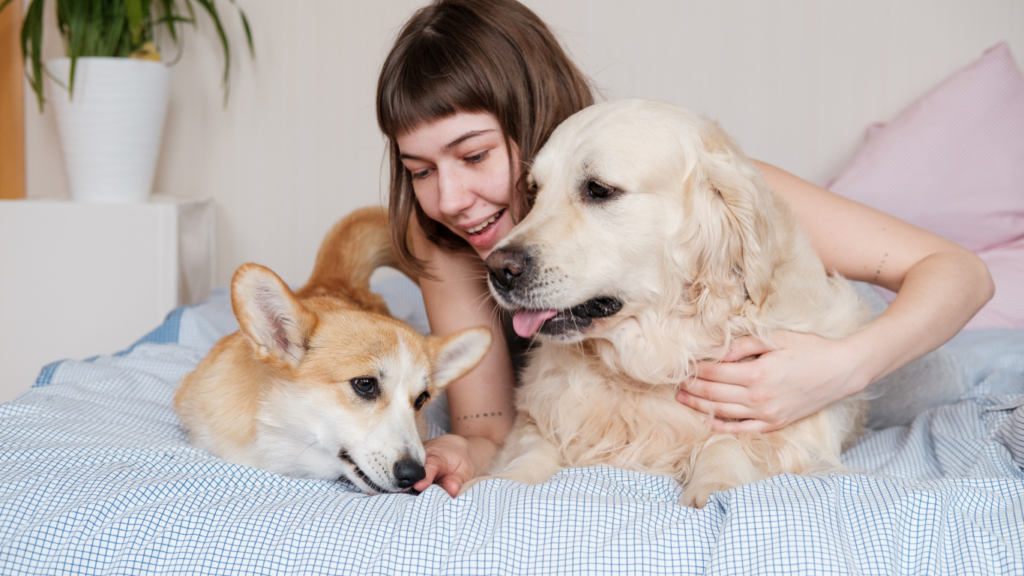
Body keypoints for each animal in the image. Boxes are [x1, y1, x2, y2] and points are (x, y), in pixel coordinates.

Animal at [477, 99, 864, 506]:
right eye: (535, 191)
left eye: (599, 189)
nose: (498, 269)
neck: (655, 356)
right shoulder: (537, 413)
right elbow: (531, 450)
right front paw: (503, 482)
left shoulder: (797, 429)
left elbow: (729, 440)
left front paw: (713, 485)